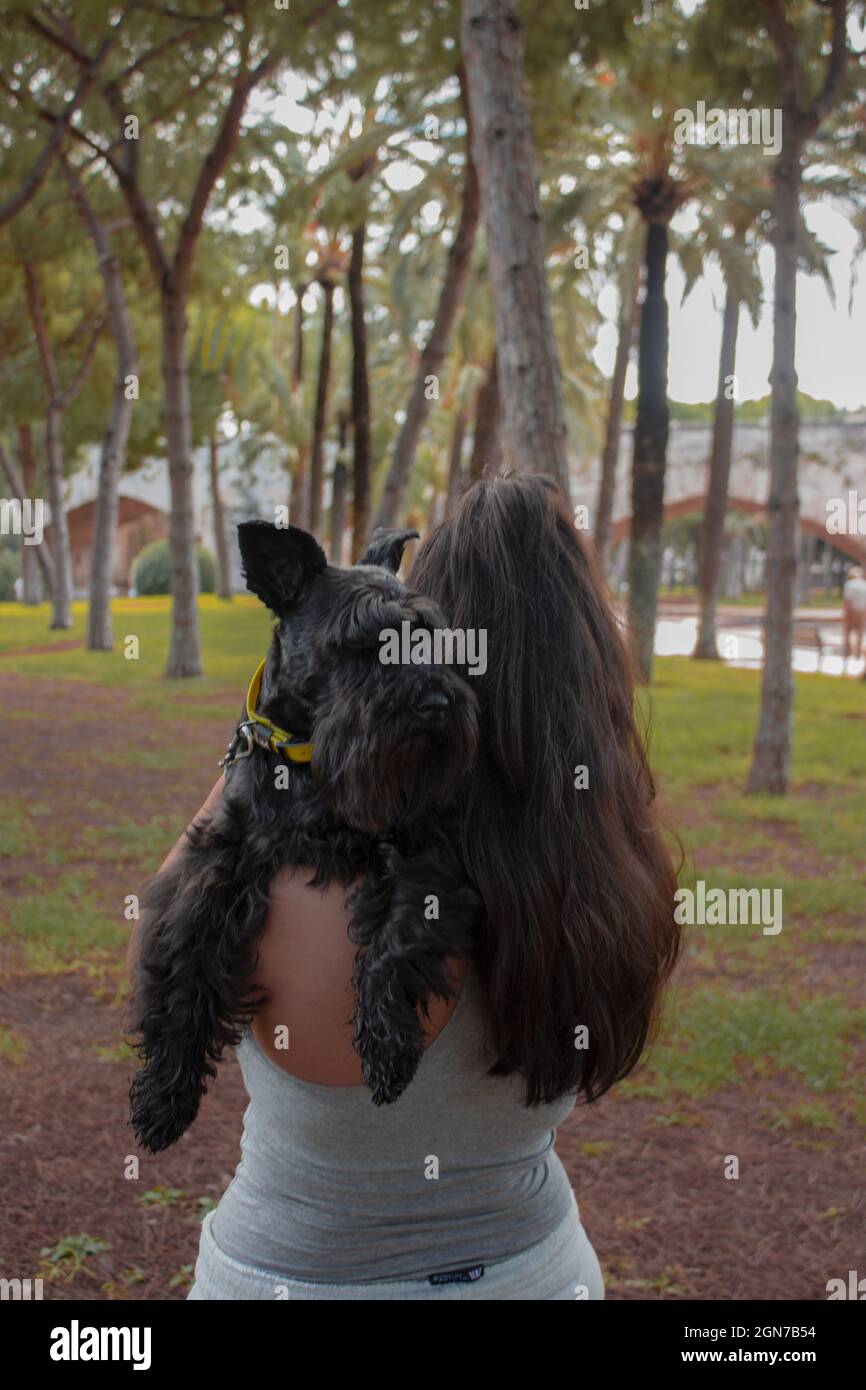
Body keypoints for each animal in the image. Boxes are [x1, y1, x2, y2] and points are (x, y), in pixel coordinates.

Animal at [127, 522, 480, 1150]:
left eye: (430, 637)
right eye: (362, 640)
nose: (439, 703)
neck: (308, 761)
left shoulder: (420, 854)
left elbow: (394, 943)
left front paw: (387, 1048)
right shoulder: (219, 855)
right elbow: (186, 956)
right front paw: (163, 1094)